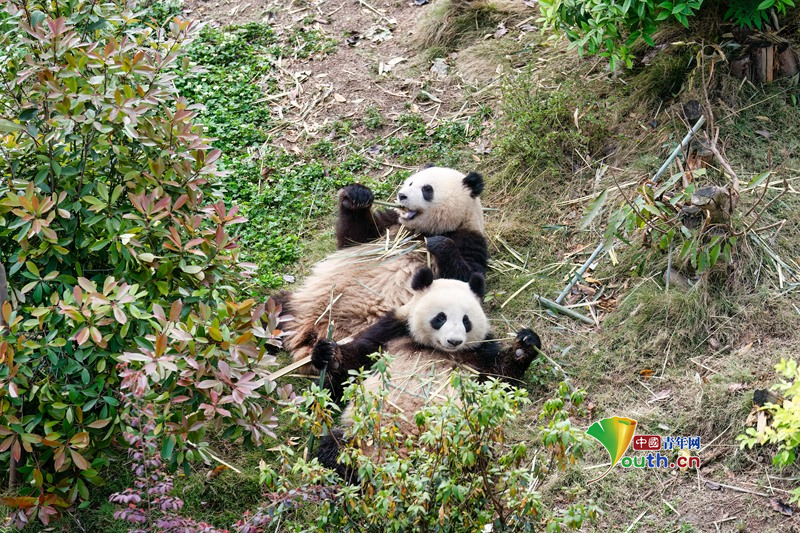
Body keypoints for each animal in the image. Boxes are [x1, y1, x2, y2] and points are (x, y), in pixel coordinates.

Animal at [280, 166, 488, 373]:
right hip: (301, 304)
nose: (402, 195)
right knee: (278, 304)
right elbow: (354, 238)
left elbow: (467, 277)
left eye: (427, 189)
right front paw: (357, 196)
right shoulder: (390, 224)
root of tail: (308, 336)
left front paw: (439, 244)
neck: (422, 231)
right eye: (410, 183)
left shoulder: (469, 238)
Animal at [310, 267, 541, 482]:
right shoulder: (392, 331)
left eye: (466, 321)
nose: (454, 341)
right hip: (360, 434)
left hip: (463, 443)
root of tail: (398, 463)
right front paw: (329, 354)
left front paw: (525, 345)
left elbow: (500, 378)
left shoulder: (478, 353)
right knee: (334, 448)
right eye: (440, 317)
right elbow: (354, 364)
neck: (437, 349)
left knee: (475, 458)